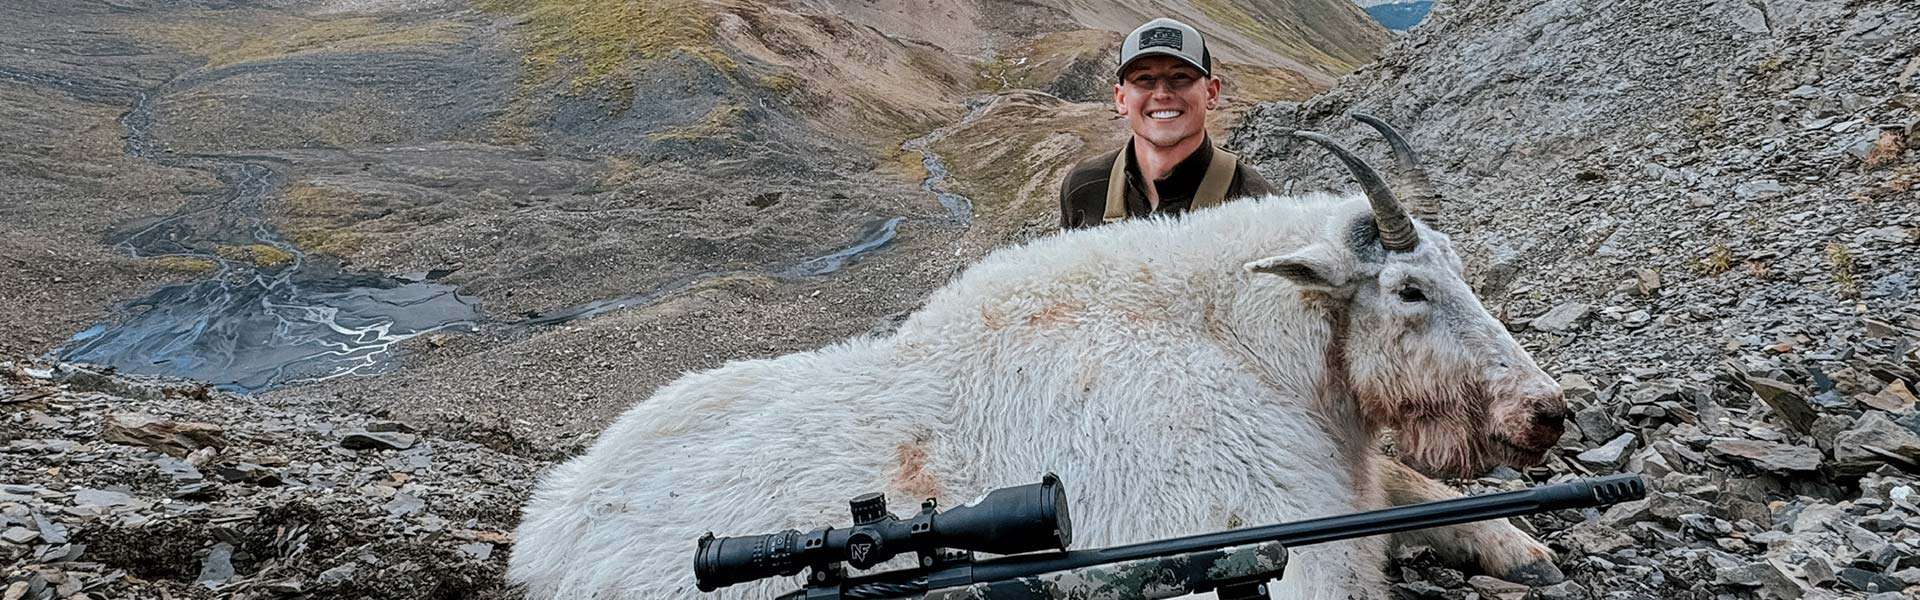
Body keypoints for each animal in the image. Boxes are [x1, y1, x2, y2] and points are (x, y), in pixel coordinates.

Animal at [514, 118, 1574, 600]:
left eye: (1459, 268)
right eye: (1410, 290)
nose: (1547, 411)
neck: (1242, 345)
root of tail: (546, 523)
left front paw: (1519, 543)